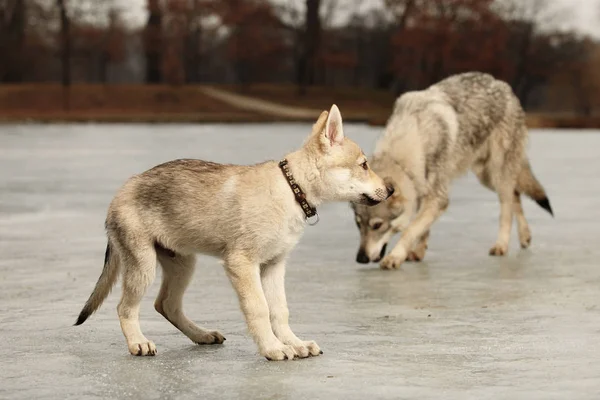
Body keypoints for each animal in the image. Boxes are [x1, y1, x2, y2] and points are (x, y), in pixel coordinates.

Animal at [352, 73, 552, 270]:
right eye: (358, 225)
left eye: (377, 226)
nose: (361, 259)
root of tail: (504, 86)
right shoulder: (423, 193)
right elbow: (422, 228)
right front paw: (418, 252)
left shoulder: (438, 198)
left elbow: (411, 230)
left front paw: (395, 257)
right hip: (488, 178)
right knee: (515, 195)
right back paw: (525, 236)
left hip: (497, 174)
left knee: (507, 208)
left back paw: (501, 245)